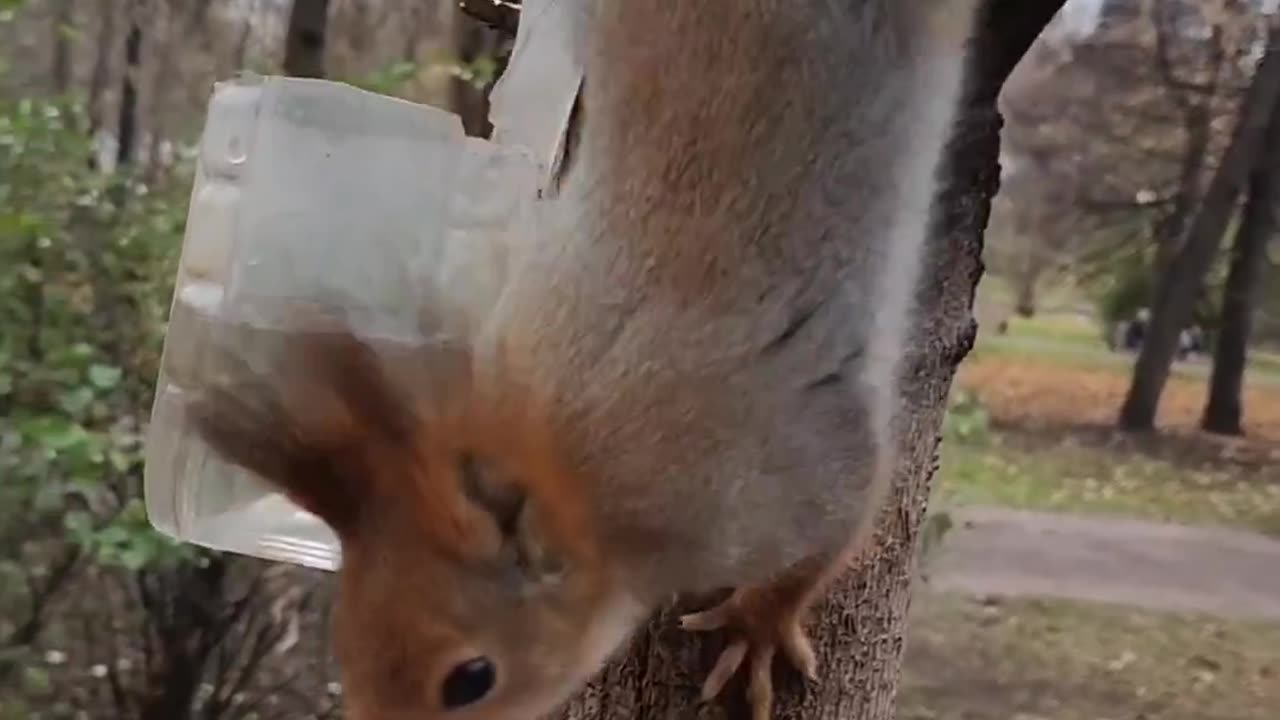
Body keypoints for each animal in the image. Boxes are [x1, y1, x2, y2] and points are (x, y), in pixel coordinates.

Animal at [185, 1, 972, 717]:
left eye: (471, 679)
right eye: (344, 648)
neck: (566, 464)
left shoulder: (769, 471)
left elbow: (835, 525)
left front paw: (758, 626)